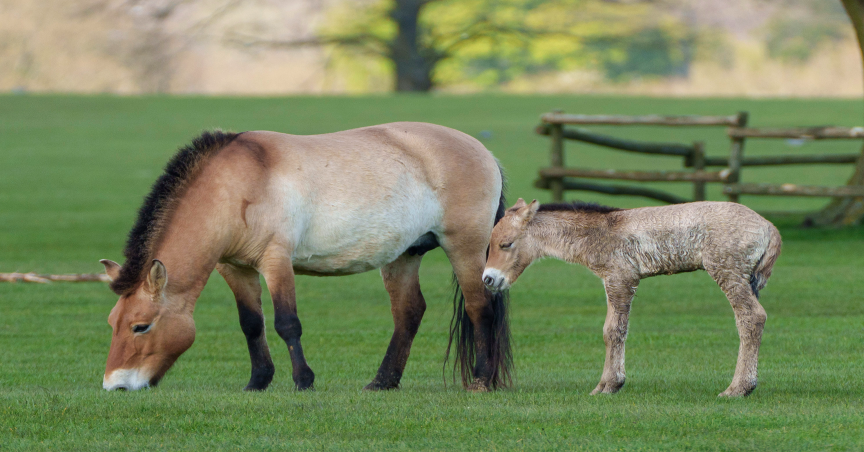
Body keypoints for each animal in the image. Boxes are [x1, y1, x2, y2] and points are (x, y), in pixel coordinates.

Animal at [99, 122, 512, 392]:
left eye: (140, 326)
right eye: (111, 323)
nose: (115, 385)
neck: (234, 185)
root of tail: (485, 152)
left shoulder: (276, 262)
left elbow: (287, 323)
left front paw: (303, 380)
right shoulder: (234, 268)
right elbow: (252, 323)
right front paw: (258, 381)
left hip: (465, 247)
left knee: (480, 307)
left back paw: (482, 379)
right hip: (404, 255)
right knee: (409, 312)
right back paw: (383, 381)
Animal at [482, 200, 780, 398]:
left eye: (506, 244)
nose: (488, 279)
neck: (601, 232)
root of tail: (769, 228)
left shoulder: (620, 278)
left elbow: (613, 330)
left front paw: (607, 386)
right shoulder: (616, 280)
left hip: (728, 272)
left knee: (751, 318)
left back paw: (738, 388)